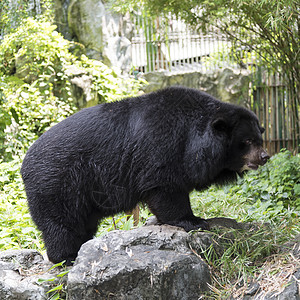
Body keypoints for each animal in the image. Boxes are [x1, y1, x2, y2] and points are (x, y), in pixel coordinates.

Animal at [21, 85, 270, 264]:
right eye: (247, 142)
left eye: (259, 138)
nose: (265, 156)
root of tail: (24, 164)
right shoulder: (163, 150)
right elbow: (166, 190)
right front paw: (195, 221)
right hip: (58, 184)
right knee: (61, 224)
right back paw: (67, 257)